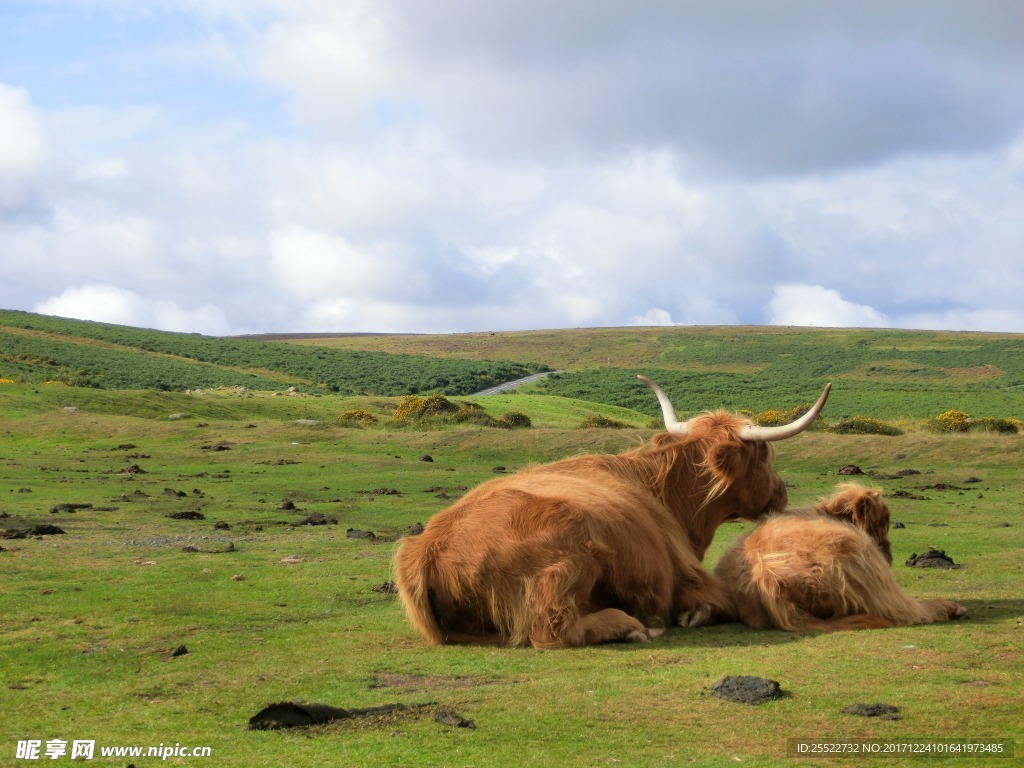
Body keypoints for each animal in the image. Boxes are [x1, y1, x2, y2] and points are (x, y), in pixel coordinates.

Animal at [391, 378, 831, 651]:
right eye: (765, 454)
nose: (782, 492)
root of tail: (429, 545)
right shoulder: (691, 578)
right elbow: (721, 601)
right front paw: (691, 615)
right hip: (570, 559)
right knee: (552, 630)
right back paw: (631, 626)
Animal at [712, 487, 966, 630]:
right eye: (884, 522)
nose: (889, 555)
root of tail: (769, 580)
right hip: (869, 570)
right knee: (909, 611)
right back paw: (952, 608)